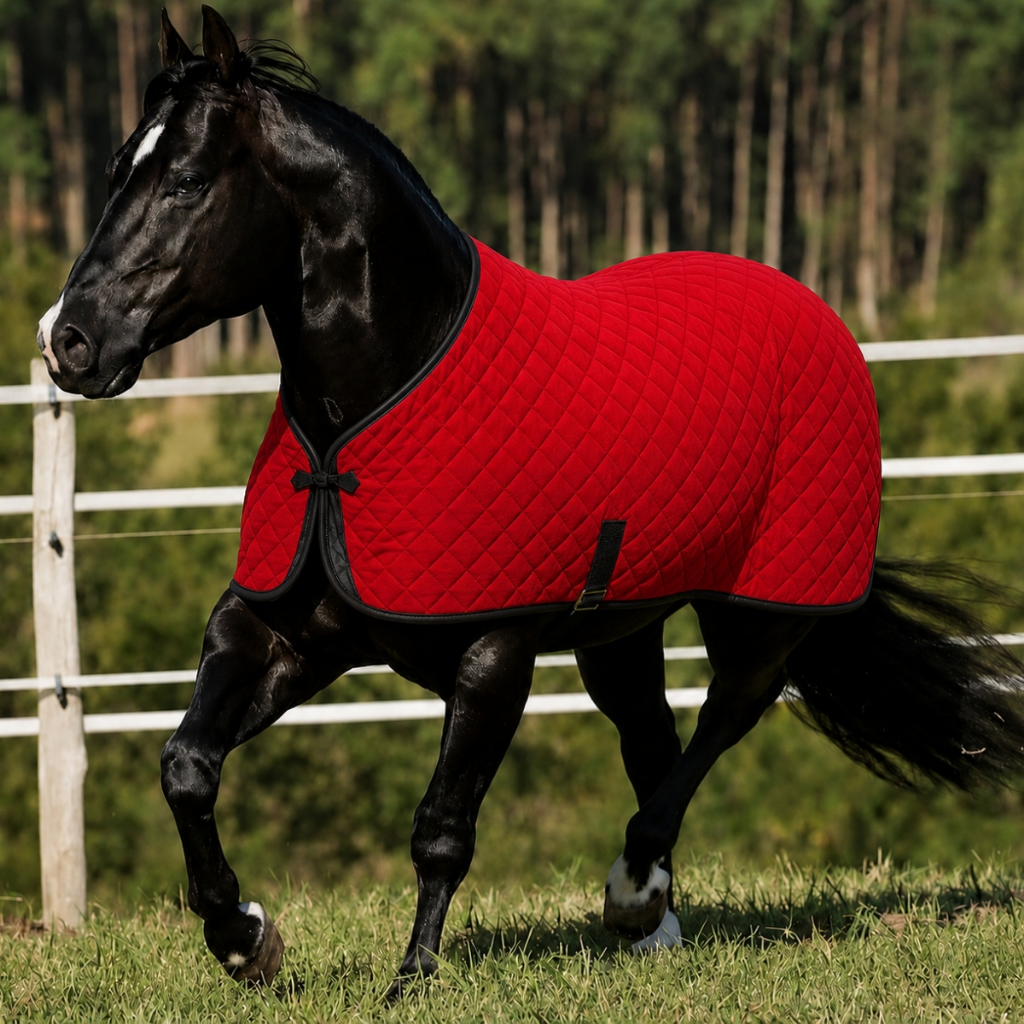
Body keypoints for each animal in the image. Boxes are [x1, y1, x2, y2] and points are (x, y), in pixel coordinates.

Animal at [37, 6, 1024, 998]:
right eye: (119, 170)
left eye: (188, 181)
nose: (66, 341)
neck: (377, 400)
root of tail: (811, 309)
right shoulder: (279, 633)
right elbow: (187, 765)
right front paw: (245, 938)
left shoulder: (494, 657)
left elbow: (442, 828)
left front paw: (412, 978)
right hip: (620, 628)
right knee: (651, 738)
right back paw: (655, 924)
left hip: (760, 613)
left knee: (721, 723)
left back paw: (632, 891)